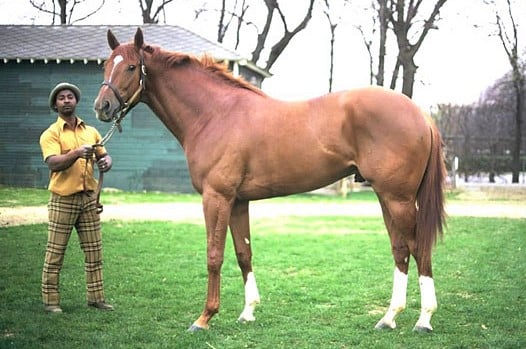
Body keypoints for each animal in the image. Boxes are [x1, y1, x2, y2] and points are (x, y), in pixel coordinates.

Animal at [94, 27, 446, 332]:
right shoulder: (238, 202)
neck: (215, 113)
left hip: (398, 199)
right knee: (401, 250)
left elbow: (214, 255)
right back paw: (389, 317)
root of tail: (420, 114)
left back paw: (424, 319)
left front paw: (204, 317)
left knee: (420, 249)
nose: (102, 107)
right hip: (386, 198)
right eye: (106, 66)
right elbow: (243, 253)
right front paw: (248, 311)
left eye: (131, 67)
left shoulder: (216, 197)